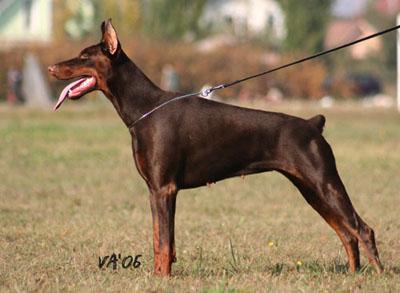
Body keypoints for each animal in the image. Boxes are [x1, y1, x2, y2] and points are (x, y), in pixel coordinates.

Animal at [48, 19, 382, 274]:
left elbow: (164, 242)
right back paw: (353, 275)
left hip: (325, 182)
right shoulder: (155, 190)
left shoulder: (164, 188)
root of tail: (313, 123)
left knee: (362, 229)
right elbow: (160, 240)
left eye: (84, 56)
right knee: (346, 233)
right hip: (310, 190)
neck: (144, 107)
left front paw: (161, 280)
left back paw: (376, 276)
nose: (51, 68)